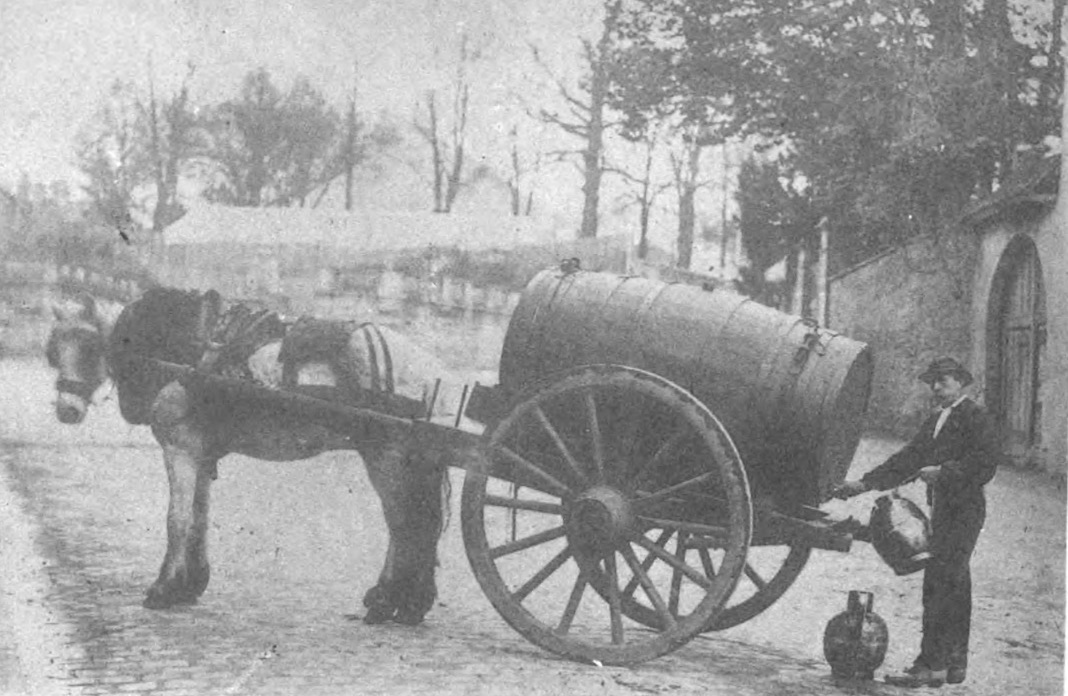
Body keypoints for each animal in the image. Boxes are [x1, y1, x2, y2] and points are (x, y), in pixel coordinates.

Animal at [48, 286, 454, 623]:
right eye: (54, 348)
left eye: (88, 344)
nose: (66, 410)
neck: (185, 352)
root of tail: (432, 370)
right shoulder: (200, 452)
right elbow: (198, 519)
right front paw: (189, 585)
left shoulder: (180, 447)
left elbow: (176, 519)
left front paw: (162, 589)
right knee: (416, 525)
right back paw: (404, 602)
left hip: (386, 456)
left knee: (406, 525)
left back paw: (390, 602)